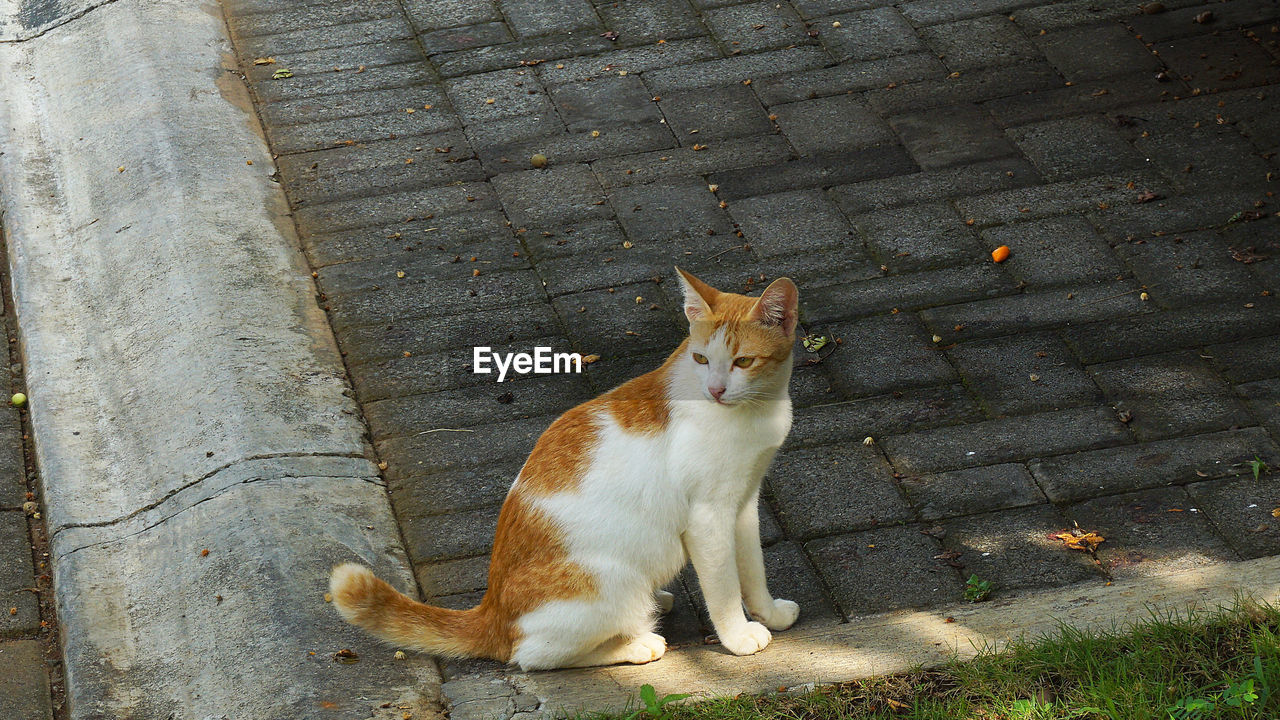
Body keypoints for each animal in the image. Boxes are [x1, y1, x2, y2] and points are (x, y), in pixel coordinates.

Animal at [332, 266, 798, 671]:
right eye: (701, 359)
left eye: (742, 362)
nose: (715, 390)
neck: (755, 412)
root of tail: (491, 610)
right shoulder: (708, 518)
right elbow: (723, 586)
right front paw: (738, 635)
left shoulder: (743, 503)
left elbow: (752, 568)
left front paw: (769, 612)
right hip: (611, 582)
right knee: (531, 656)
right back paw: (636, 643)